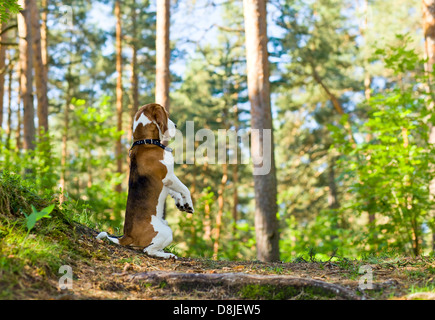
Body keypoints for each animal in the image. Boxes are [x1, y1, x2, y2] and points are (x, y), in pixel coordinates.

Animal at [99, 104, 196, 258]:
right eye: (166, 114)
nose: (175, 125)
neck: (145, 142)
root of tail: (127, 236)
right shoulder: (169, 176)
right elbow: (185, 188)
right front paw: (189, 204)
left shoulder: (168, 182)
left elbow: (176, 192)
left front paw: (181, 203)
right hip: (167, 231)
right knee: (148, 250)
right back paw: (167, 255)